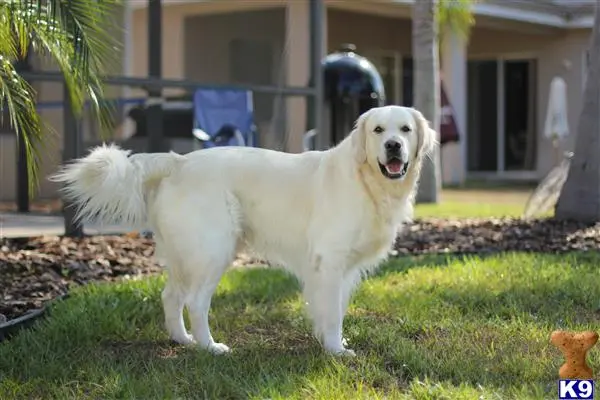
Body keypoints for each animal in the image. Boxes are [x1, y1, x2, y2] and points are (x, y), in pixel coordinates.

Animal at [50, 105, 436, 356]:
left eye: (405, 130)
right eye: (378, 130)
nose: (393, 147)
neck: (366, 180)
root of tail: (178, 161)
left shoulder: (342, 269)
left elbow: (334, 308)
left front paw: (333, 344)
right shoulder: (329, 262)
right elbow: (332, 313)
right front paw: (335, 350)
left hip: (184, 254)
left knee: (171, 296)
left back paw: (182, 341)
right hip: (214, 250)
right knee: (195, 302)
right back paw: (210, 347)